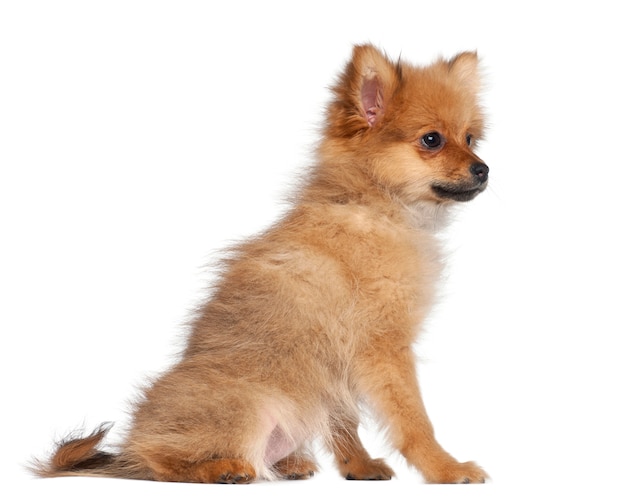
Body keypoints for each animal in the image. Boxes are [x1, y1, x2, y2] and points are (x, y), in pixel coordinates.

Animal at [33, 44, 488, 484]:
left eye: (470, 138)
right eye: (432, 139)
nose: (484, 169)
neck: (374, 206)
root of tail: (127, 449)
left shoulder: (342, 363)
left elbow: (344, 421)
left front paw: (357, 467)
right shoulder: (383, 347)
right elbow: (414, 422)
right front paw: (446, 470)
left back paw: (288, 464)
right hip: (249, 406)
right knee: (157, 460)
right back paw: (221, 469)